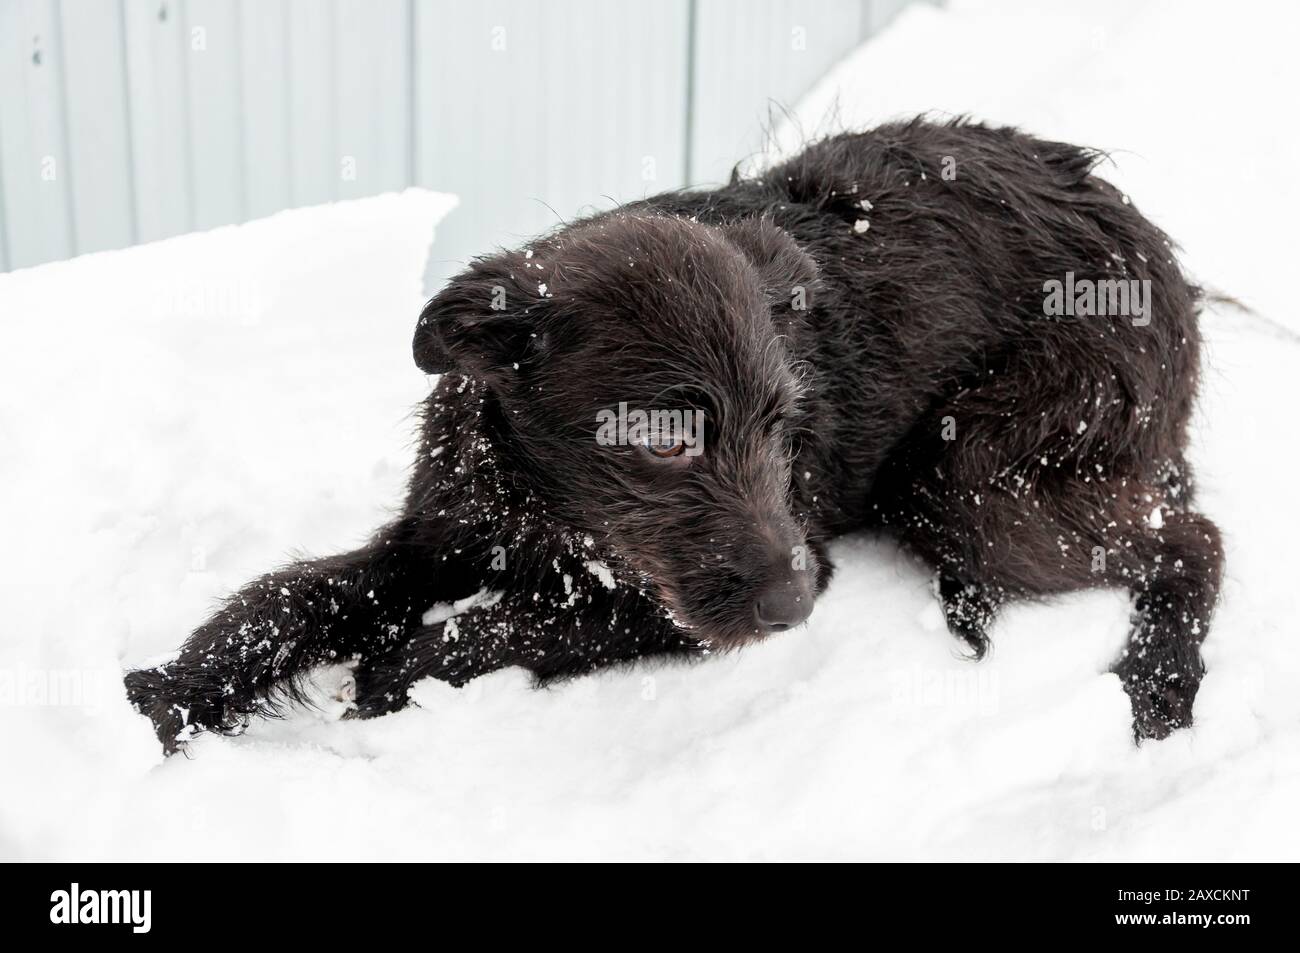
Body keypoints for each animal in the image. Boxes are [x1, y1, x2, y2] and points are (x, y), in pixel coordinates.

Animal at [126, 117, 1222, 748]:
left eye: (782, 424)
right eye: (661, 439)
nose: (795, 608)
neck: (551, 508)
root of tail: (1156, 248)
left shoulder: (680, 597)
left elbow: (507, 625)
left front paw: (388, 674)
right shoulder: (441, 534)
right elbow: (293, 594)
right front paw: (182, 687)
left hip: (970, 473)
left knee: (1193, 537)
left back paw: (1162, 687)